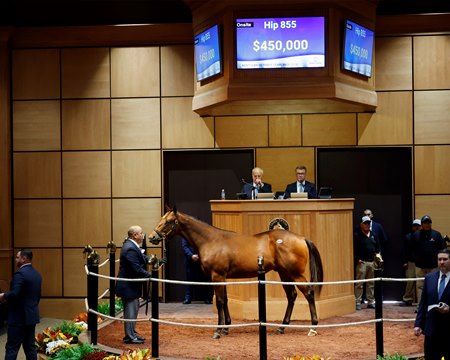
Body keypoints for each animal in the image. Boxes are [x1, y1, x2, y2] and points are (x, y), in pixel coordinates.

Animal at [149, 207, 324, 338]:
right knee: (291, 296)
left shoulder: (217, 276)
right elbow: (225, 300)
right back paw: (282, 327)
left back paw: (313, 328)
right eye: (162, 219)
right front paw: (226, 328)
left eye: (168, 221)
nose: (152, 237)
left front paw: (218, 331)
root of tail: (301, 238)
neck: (211, 240)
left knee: (309, 294)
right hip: (284, 274)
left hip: (296, 274)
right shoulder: (222, 278)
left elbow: (219, 301)